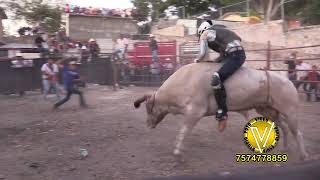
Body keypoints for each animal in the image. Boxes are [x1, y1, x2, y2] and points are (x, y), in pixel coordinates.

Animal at [134, 62, 308, 160]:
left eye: (149, 108)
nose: (148, 124)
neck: (184, 82)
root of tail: (289, 81)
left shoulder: (195, 112)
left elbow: (183, 131)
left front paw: (177, 152)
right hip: (267, 110)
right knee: (284, 127)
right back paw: (285, 148)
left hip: (290, 111)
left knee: (297, 132)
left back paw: (303, 156)